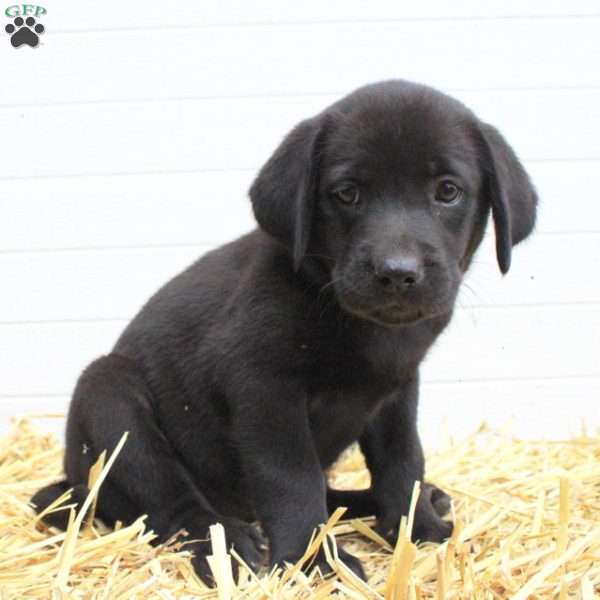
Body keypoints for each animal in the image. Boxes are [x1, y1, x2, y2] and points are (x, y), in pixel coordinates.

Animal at [32, 79, 536, 580]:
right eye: (347, 193)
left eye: (448, 191)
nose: (397, 273)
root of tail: (74, 483)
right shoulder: (264, 388)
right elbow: (291, 479)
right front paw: (316, 561)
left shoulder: (397, 390)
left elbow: (403, 461)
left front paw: (420, 530)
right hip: (109, 394)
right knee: (172, 507)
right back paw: (227, 545)